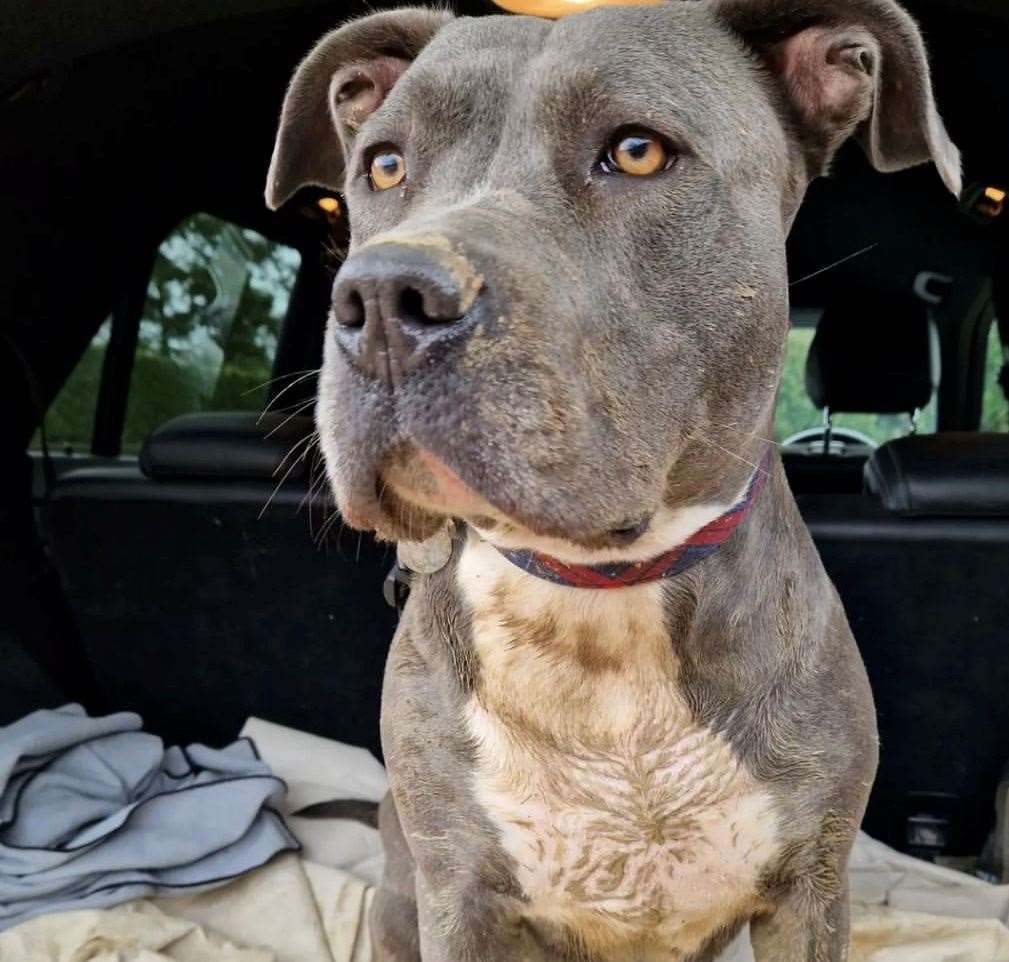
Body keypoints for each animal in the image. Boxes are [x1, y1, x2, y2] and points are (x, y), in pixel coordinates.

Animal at [268, 3, 960, 956]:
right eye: (384, 163)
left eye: (636, 151)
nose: (378, 301)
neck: (598, 602)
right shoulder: (460, 899)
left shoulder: (809, 889)